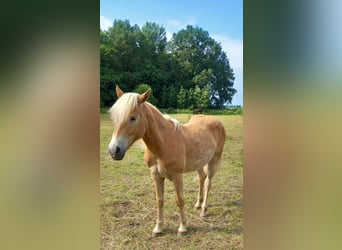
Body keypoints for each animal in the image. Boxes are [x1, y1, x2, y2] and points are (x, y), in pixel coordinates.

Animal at [108, 85, 226, 236]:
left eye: (133, 118)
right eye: (115, 118)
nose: (114, 150)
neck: (163, 143)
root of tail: (216, 121)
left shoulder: (177, 176)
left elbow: (180, 200)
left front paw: (182, 227)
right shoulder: (156, 176)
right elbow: (160, 200)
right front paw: (158, 228)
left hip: (214, 160)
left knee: (208, 183)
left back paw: (204, 210)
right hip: (199, 163)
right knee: (202, 178)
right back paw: (198, 204)